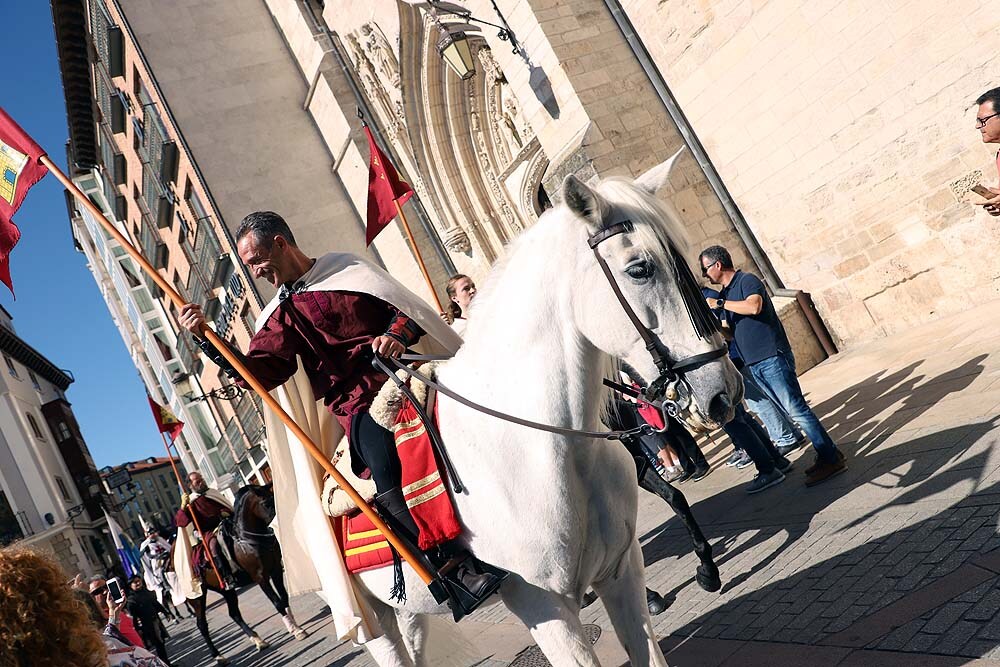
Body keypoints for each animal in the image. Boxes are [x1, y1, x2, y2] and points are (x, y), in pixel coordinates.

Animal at [356, 158, 740, 667]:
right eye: (640, 269)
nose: (724, 392)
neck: (548, 447)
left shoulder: (622, 569)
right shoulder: (543, 606)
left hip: (408, 613)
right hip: (375, 620)